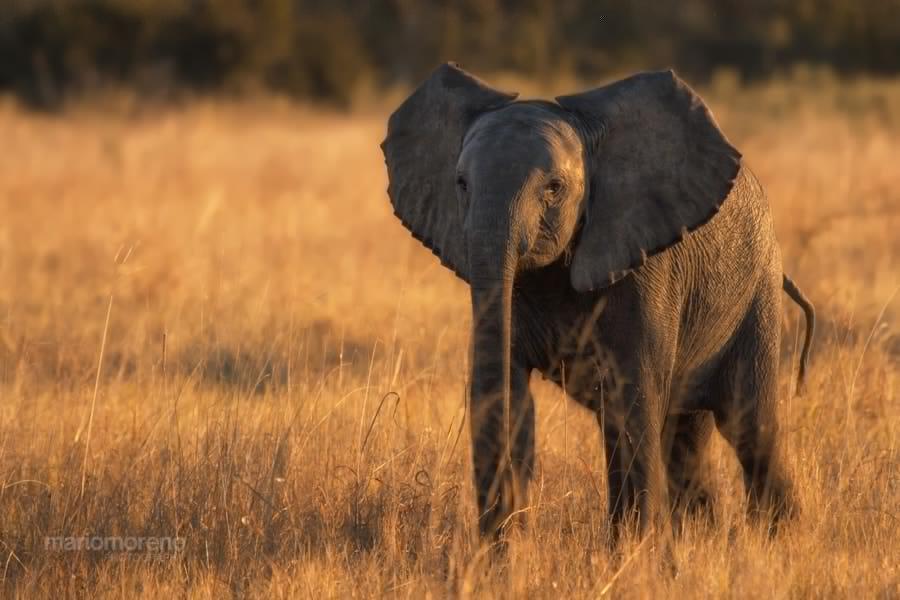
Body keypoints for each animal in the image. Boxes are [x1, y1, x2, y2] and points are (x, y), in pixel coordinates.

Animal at [380, 63, 816, 540]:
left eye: (553, 188)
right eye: (460, 184)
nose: (496, 538)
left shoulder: (647, 269)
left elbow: (632, 401)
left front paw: (636, 551)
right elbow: (511, 398)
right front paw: (502, 554)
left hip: (757, 295)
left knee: (749, 426)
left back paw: (778, 539)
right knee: (685, 435)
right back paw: (702, 538)